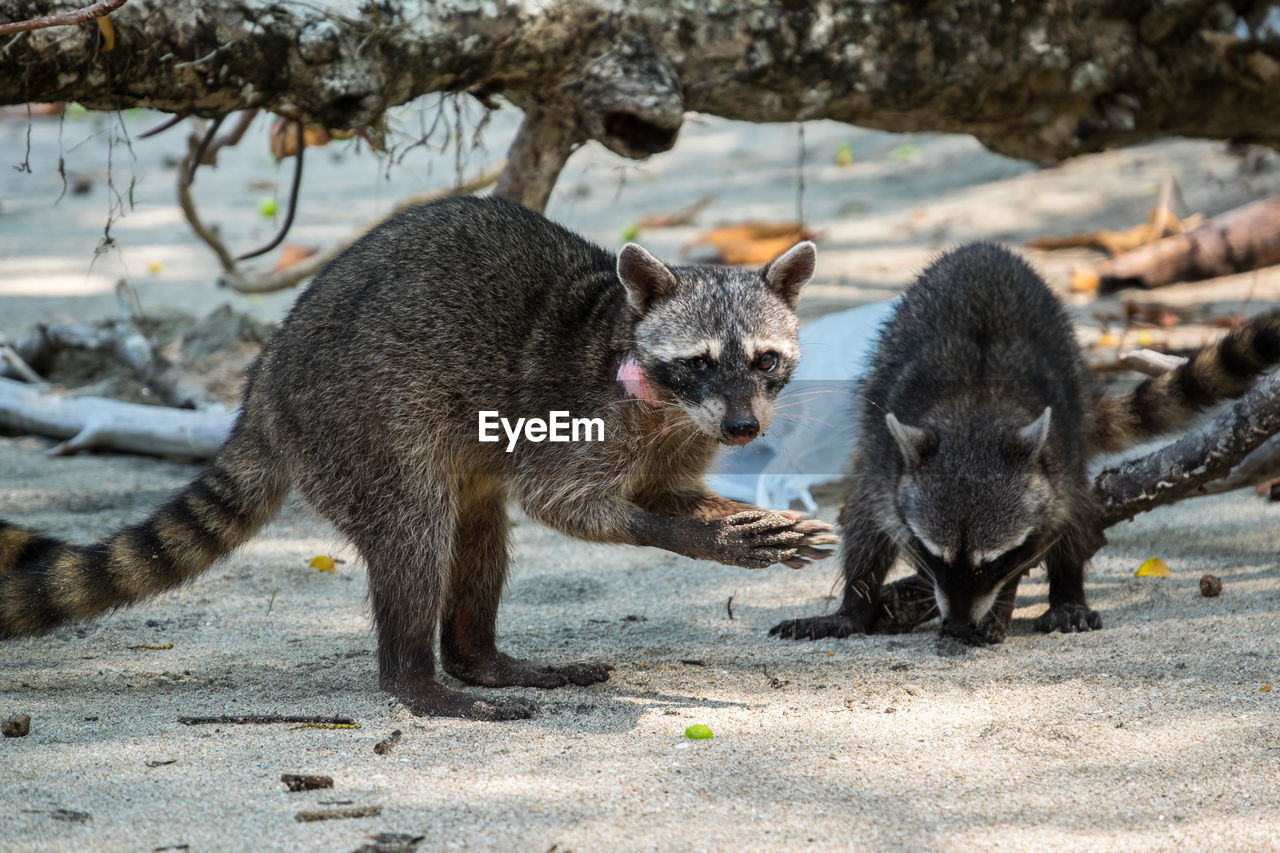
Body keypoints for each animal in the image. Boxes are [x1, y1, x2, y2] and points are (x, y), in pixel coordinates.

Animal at [0, 197, 834, 717]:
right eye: (697, 362)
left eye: (765, 361)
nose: (742, 428)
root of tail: (264, 382)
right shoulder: (580, 418)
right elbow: (571, 507)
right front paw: (697, 535)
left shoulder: (680, 437)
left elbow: (662, 493)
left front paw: (727, 519)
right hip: (360, 424)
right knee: (415, 535)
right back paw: (421, 680)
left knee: (478, 533)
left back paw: (478, 655)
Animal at [768, 242, 1280, 640]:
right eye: (932, 555)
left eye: (993, 562)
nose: (958, 625)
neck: (973, 414)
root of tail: (982, 247)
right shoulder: (883, 453)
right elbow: (867, 521)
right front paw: (854, 605)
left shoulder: (1058, 452)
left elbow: (1059, 522)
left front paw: (1022, 596)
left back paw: (1066, 591)